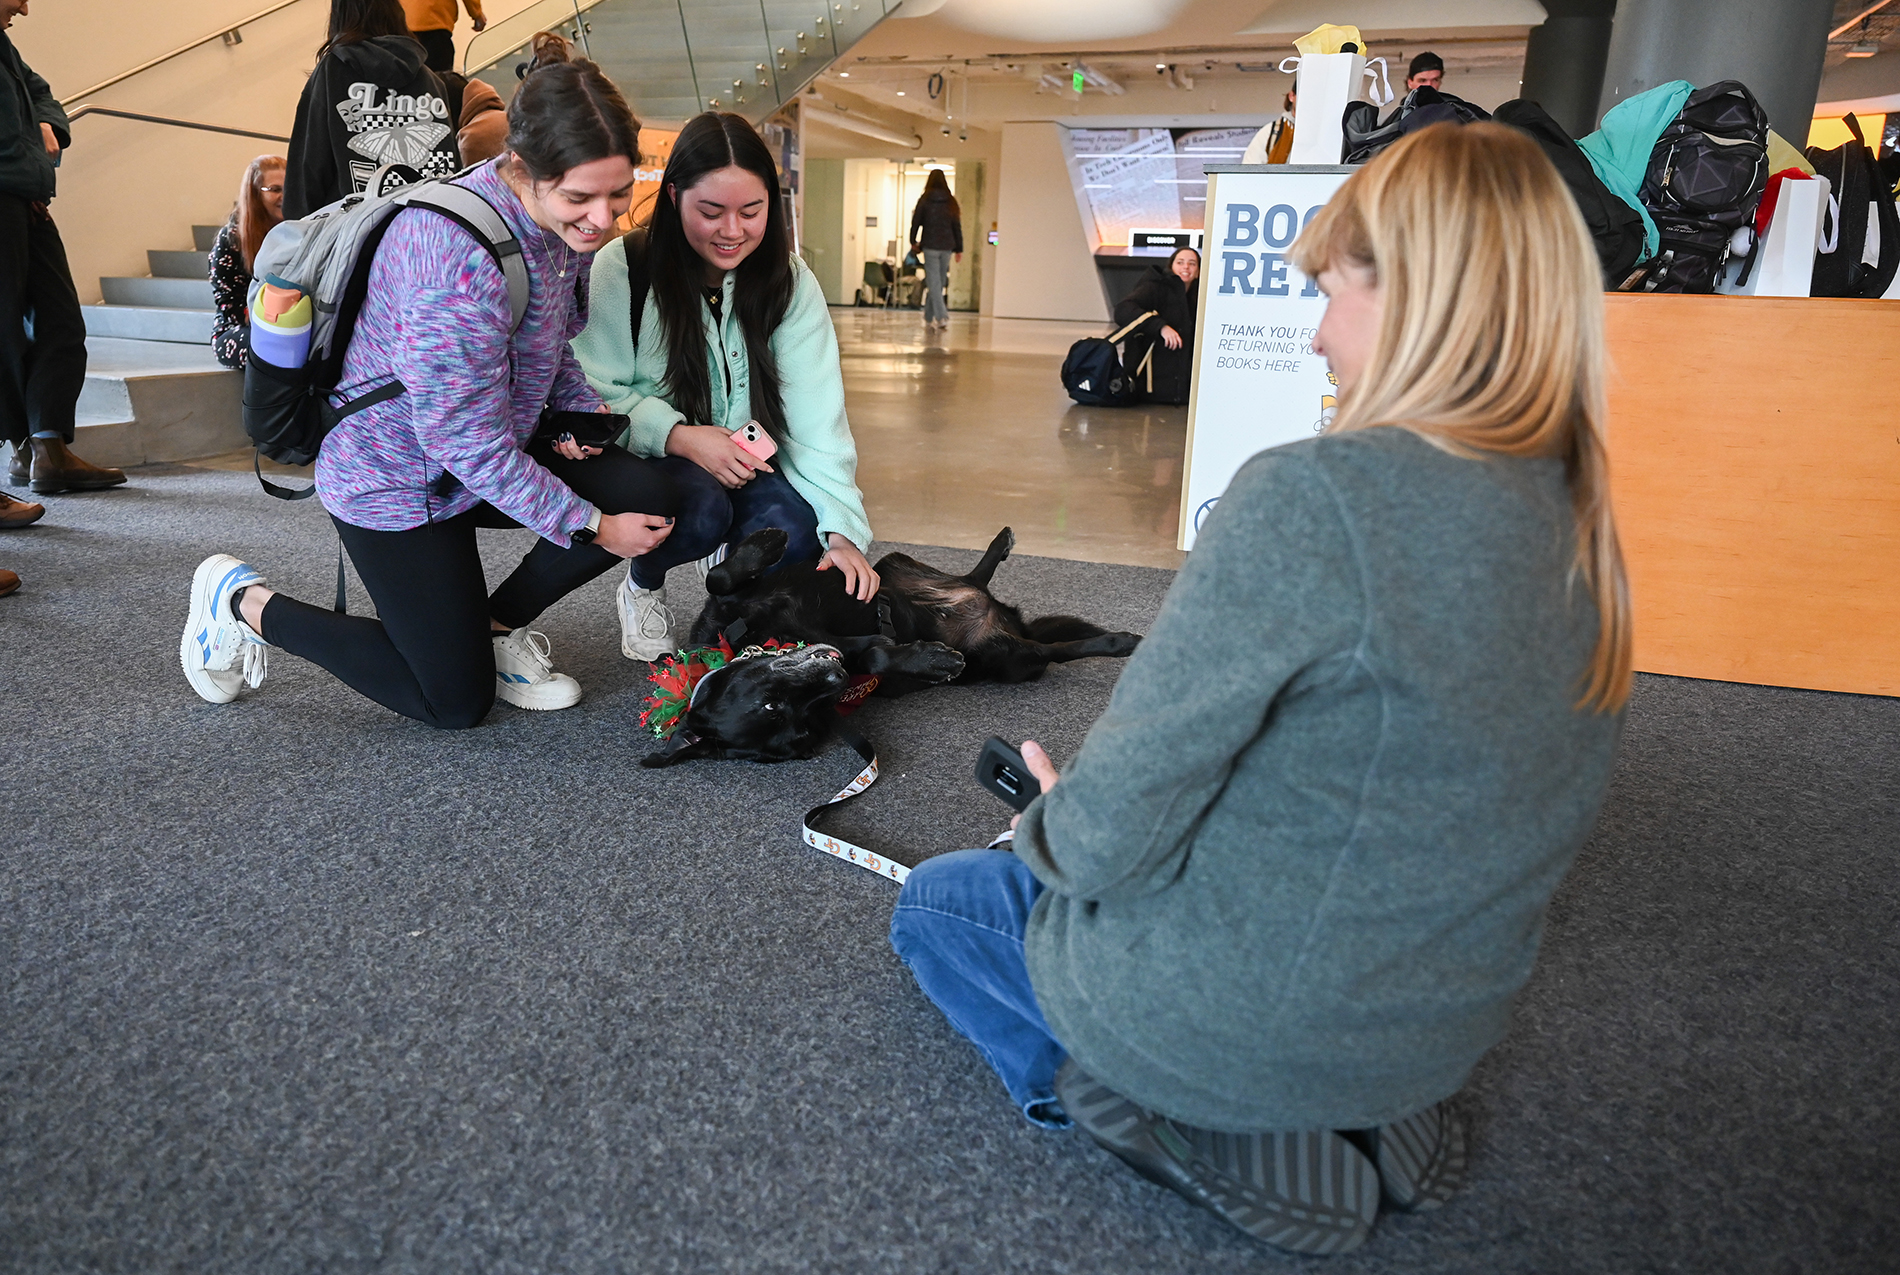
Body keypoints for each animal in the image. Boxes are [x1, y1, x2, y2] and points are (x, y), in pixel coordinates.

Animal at [638, 528, 1140, 767]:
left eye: (769, 704)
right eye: (792, 718)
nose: (835, 675)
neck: (752, 635)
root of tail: (1007, 620)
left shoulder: (736, 599)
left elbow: (717, 576)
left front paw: (765, 542)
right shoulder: (860, 656)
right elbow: (879, 652)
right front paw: (933, 660)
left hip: (893, 564)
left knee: (973, 576)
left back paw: (999, 544)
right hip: (1013, 658)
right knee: (1058, 650)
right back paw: (1120, 642)